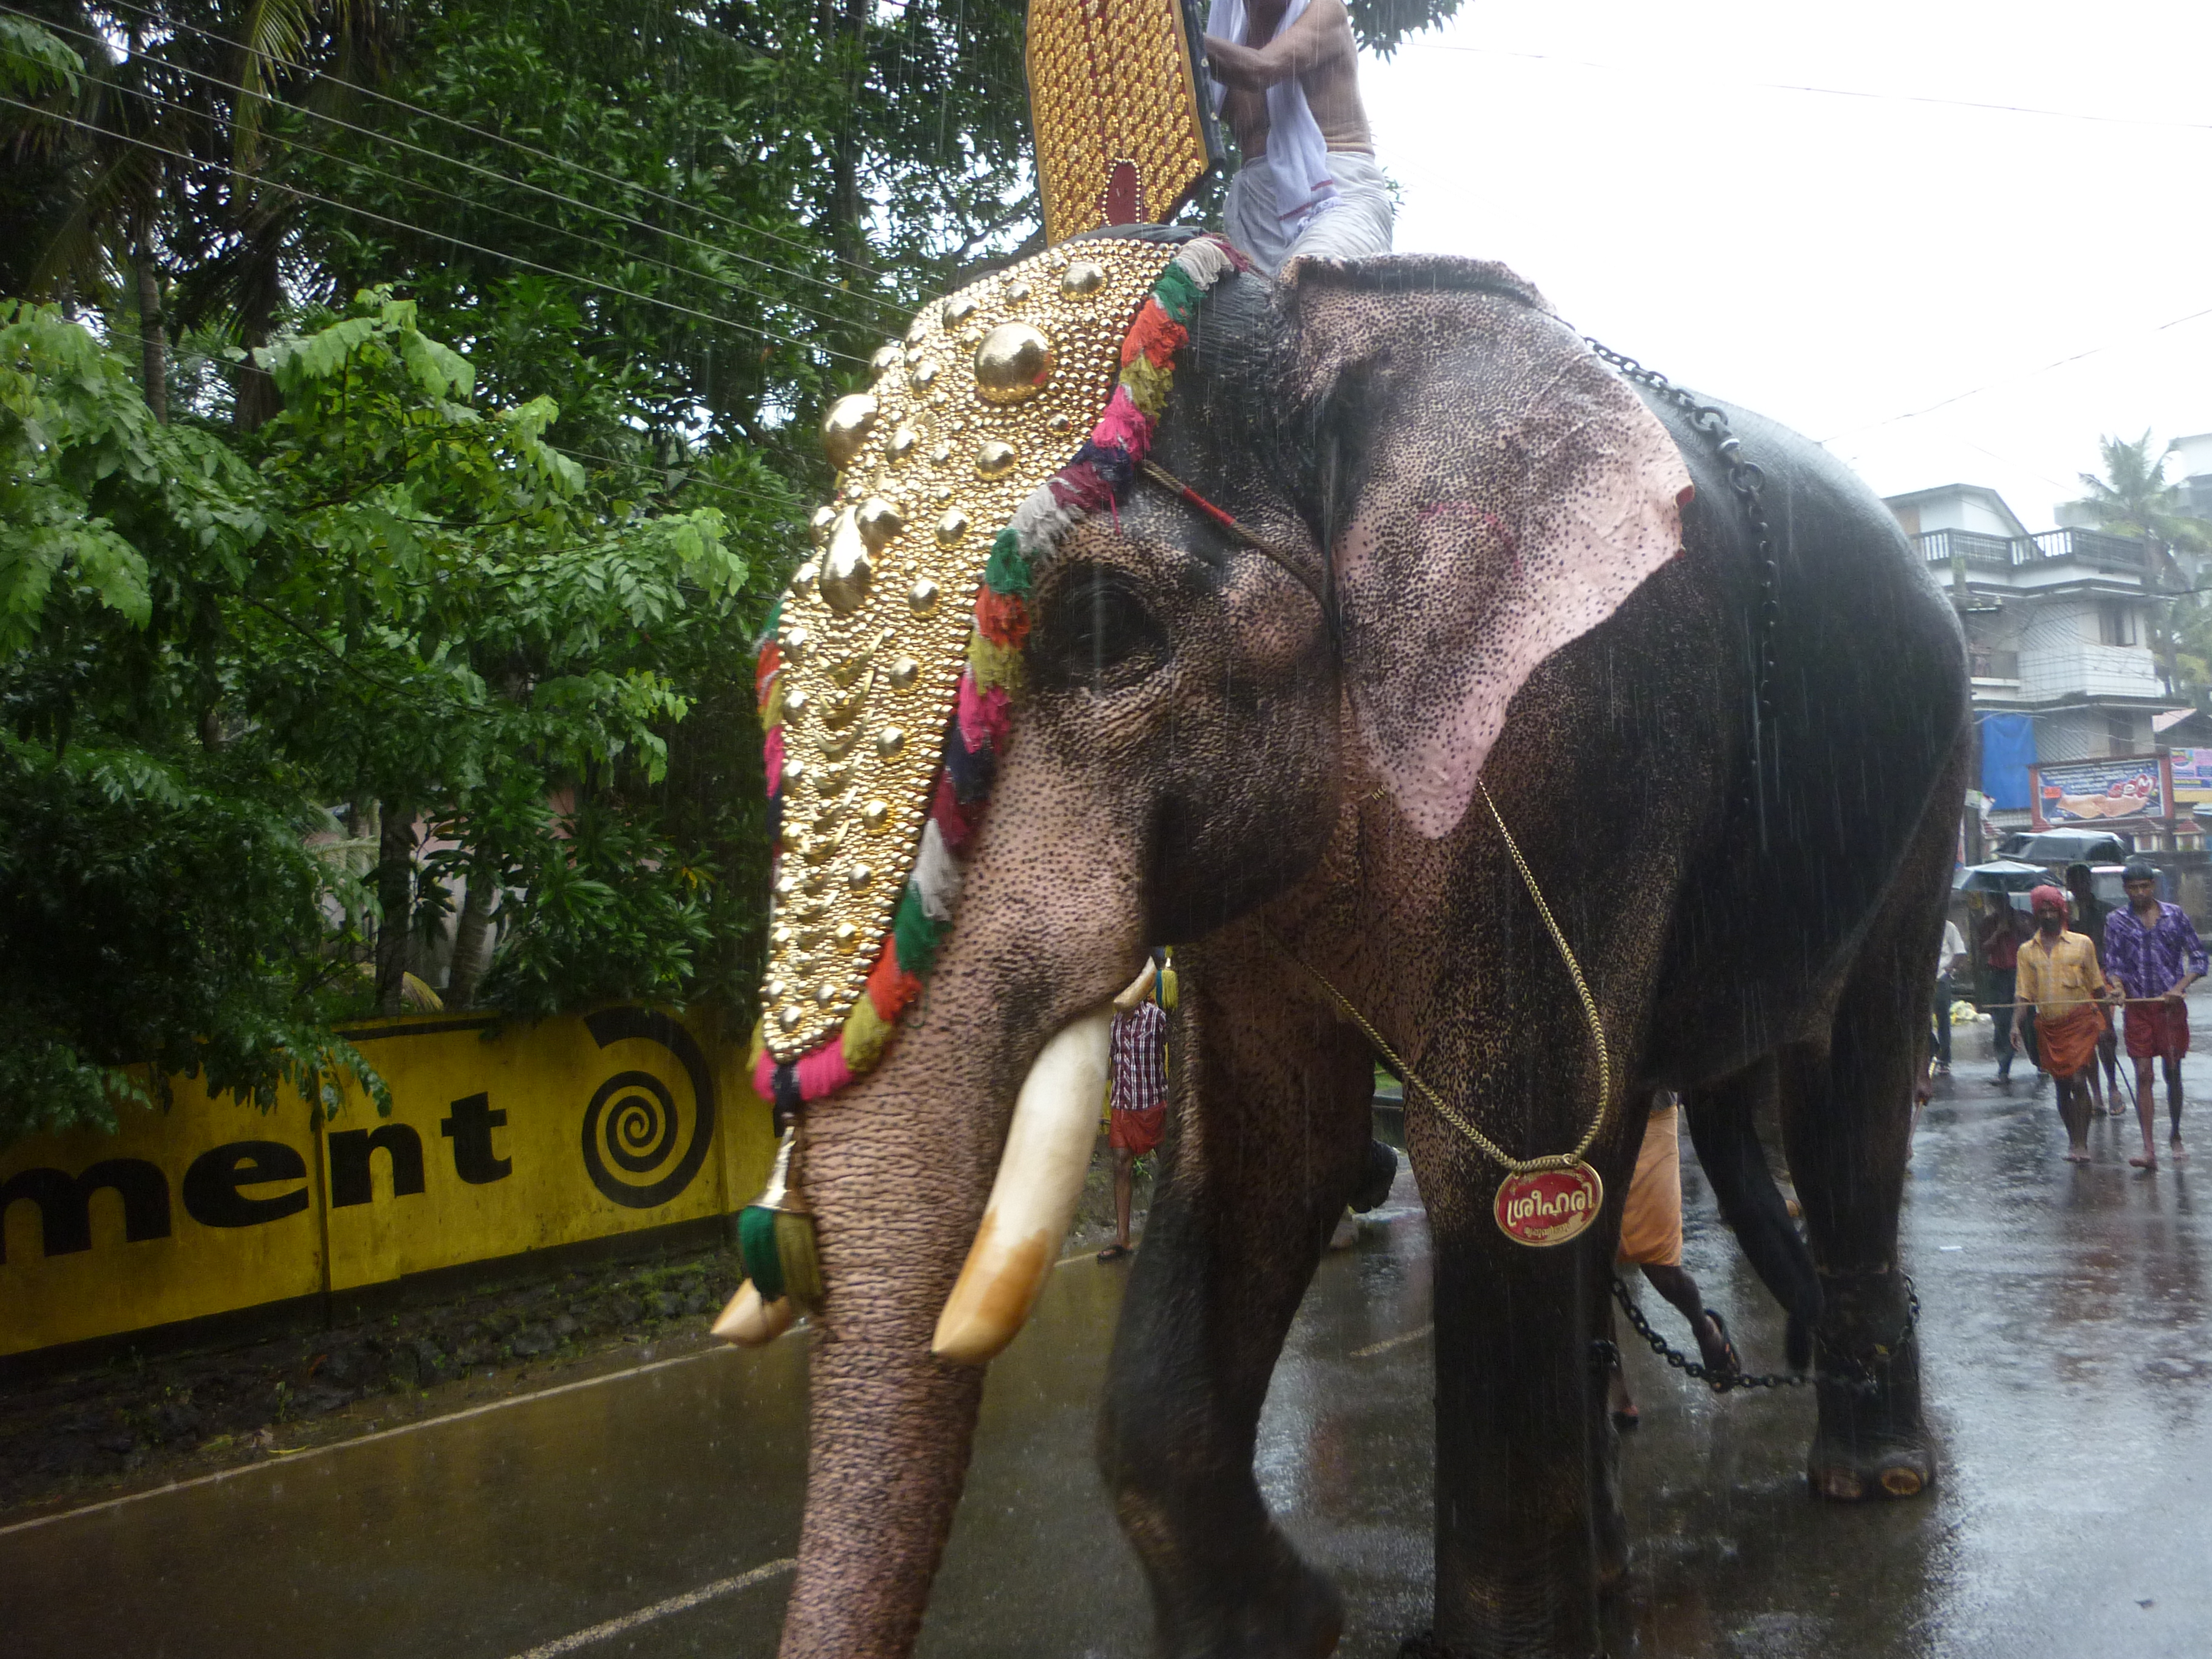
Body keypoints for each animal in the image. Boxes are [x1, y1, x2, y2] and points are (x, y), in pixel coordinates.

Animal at [739, 231, 1973, 1659]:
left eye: (1103, 631)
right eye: (773, 671)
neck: (1321, 320)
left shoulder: (1571, 743)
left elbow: (1497, 1163)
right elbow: (1268, 1149)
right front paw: (1283, 1630)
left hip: (1930, 787)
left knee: (1847, 1082)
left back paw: (1870, 1477)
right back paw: (1639, 1535)